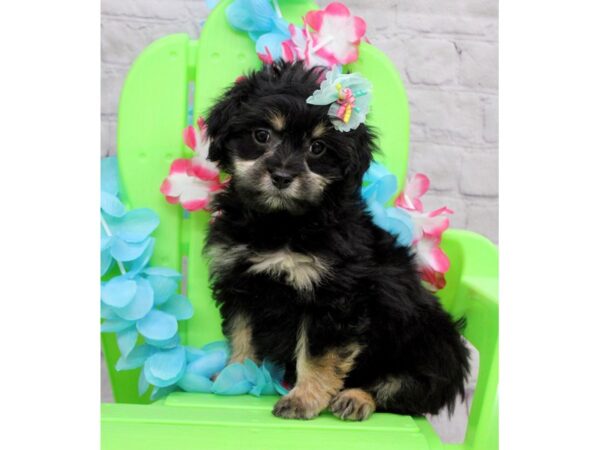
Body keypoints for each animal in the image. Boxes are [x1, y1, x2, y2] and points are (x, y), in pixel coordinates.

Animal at [204, 61, 472, 420]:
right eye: (262, 136)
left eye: (317, 148)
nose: (282, 177)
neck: (281, 223)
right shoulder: (240, 280)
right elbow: (241, 332)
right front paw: (237, 372)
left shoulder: (333, 297)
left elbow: (318, 355)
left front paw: (303, 399)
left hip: (431, 349)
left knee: (403, 390)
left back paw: (356, 398)